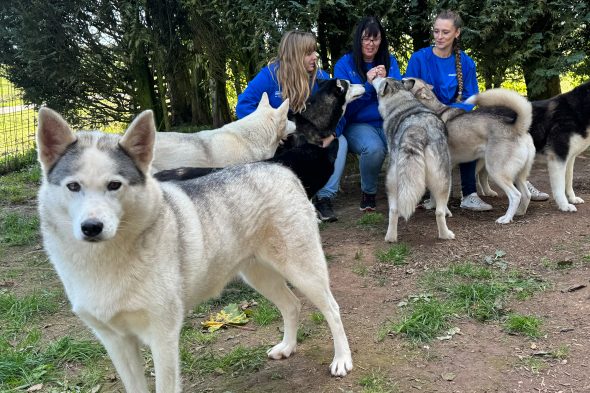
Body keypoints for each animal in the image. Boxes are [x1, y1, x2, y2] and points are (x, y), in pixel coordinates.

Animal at [372, 77, 456, 242]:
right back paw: (446, 234)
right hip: (445, 180)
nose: (374, 76)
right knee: (439, 212)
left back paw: (391, 237)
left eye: (381, 79)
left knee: (394, 210)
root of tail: (416, 129)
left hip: (392, 181)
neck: (402, 100)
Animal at [408, 77, 536, 224]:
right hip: (518, 175)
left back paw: (506, 218)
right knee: (526, 194)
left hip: (496, 171)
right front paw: (431, 205)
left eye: (409, 81)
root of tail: (517, 127)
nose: (400, 78)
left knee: (515, 195)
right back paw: (519, 212)